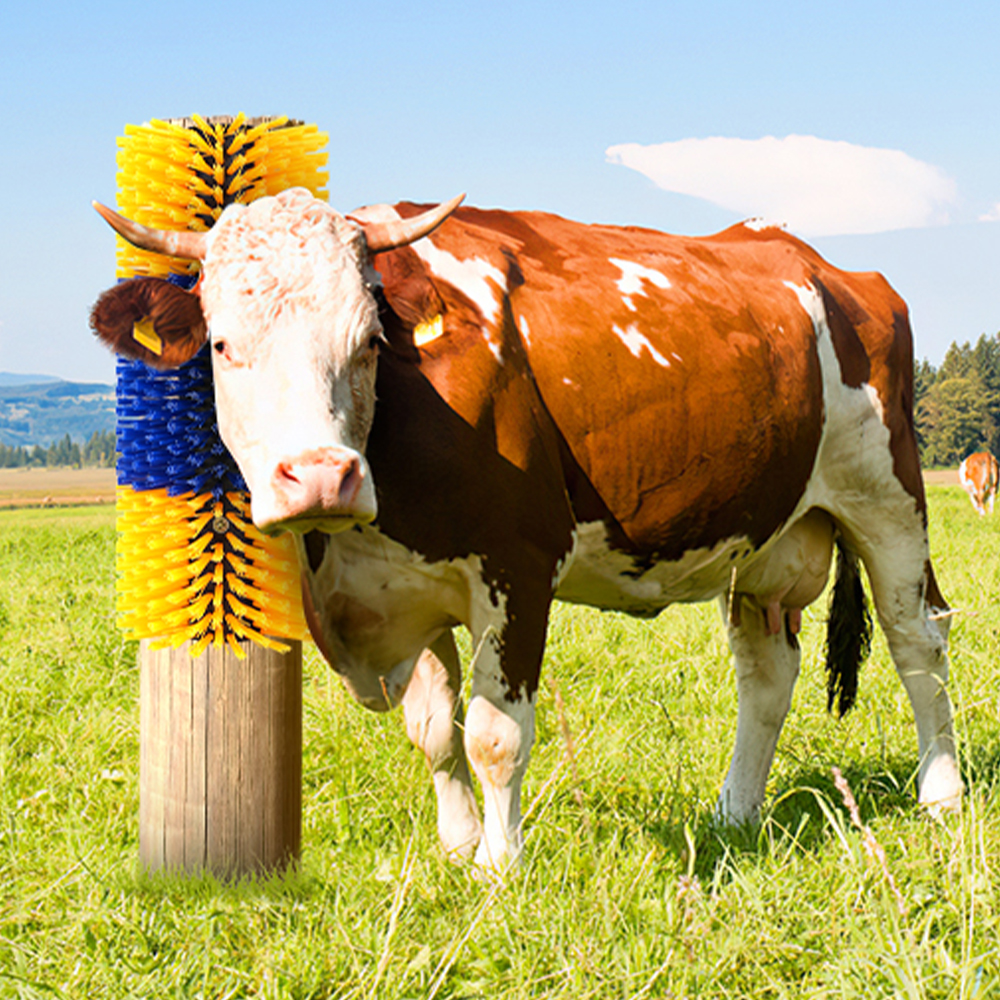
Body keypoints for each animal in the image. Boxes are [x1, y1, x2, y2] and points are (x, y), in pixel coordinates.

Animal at [90, 187, 962, 872]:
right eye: (223, 345)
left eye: (368, 342)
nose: (319, 476)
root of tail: (819, 263)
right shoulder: (401, 590)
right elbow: (433, 730)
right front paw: (456, 846)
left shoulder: (515, 565)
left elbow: (493, 734)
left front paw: (499, 865)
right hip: (763, 535)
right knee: (768, 675)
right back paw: (735, 811)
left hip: (888, 497)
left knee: (917, 642)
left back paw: (943, 795)